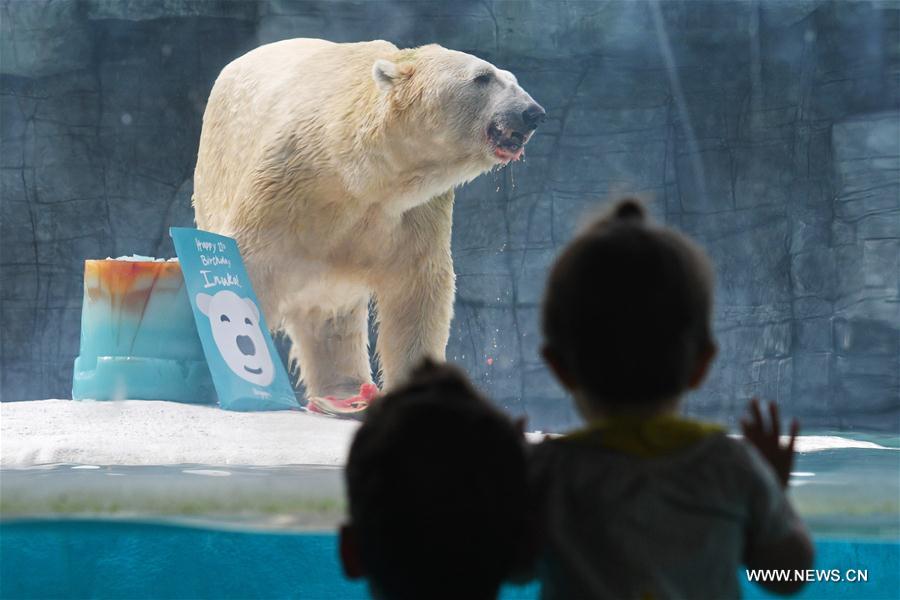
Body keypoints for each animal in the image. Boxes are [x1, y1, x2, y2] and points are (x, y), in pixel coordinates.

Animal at [193, 38, 544, 414]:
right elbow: (248, 262)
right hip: (216, 171)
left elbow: (417, 290)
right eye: (482, 77)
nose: (532, 112)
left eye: (512, 78)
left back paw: (345, 392)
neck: (358, 175)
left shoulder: (415, 211)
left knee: (330, 315)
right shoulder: (285, 179)